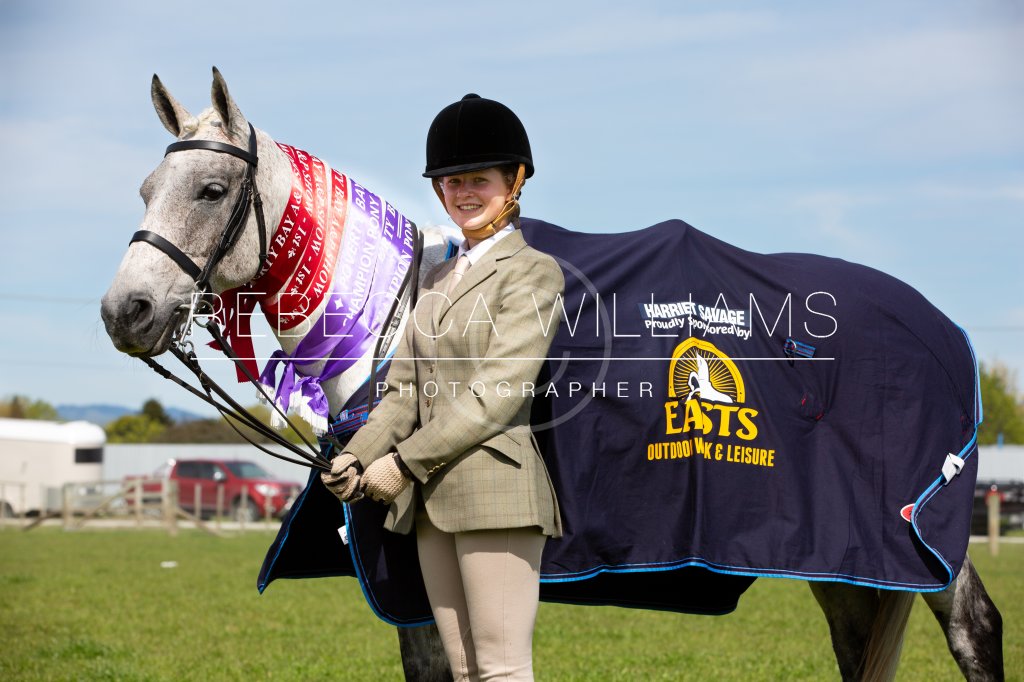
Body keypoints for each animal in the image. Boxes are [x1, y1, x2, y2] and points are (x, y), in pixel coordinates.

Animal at [100, 68, 1003, 681]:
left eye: (211, 188)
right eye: (145, 187)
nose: (124, 310)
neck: (398, 312)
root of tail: (934, 324)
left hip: (919, 541)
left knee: (975, 630)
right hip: (841, 554)